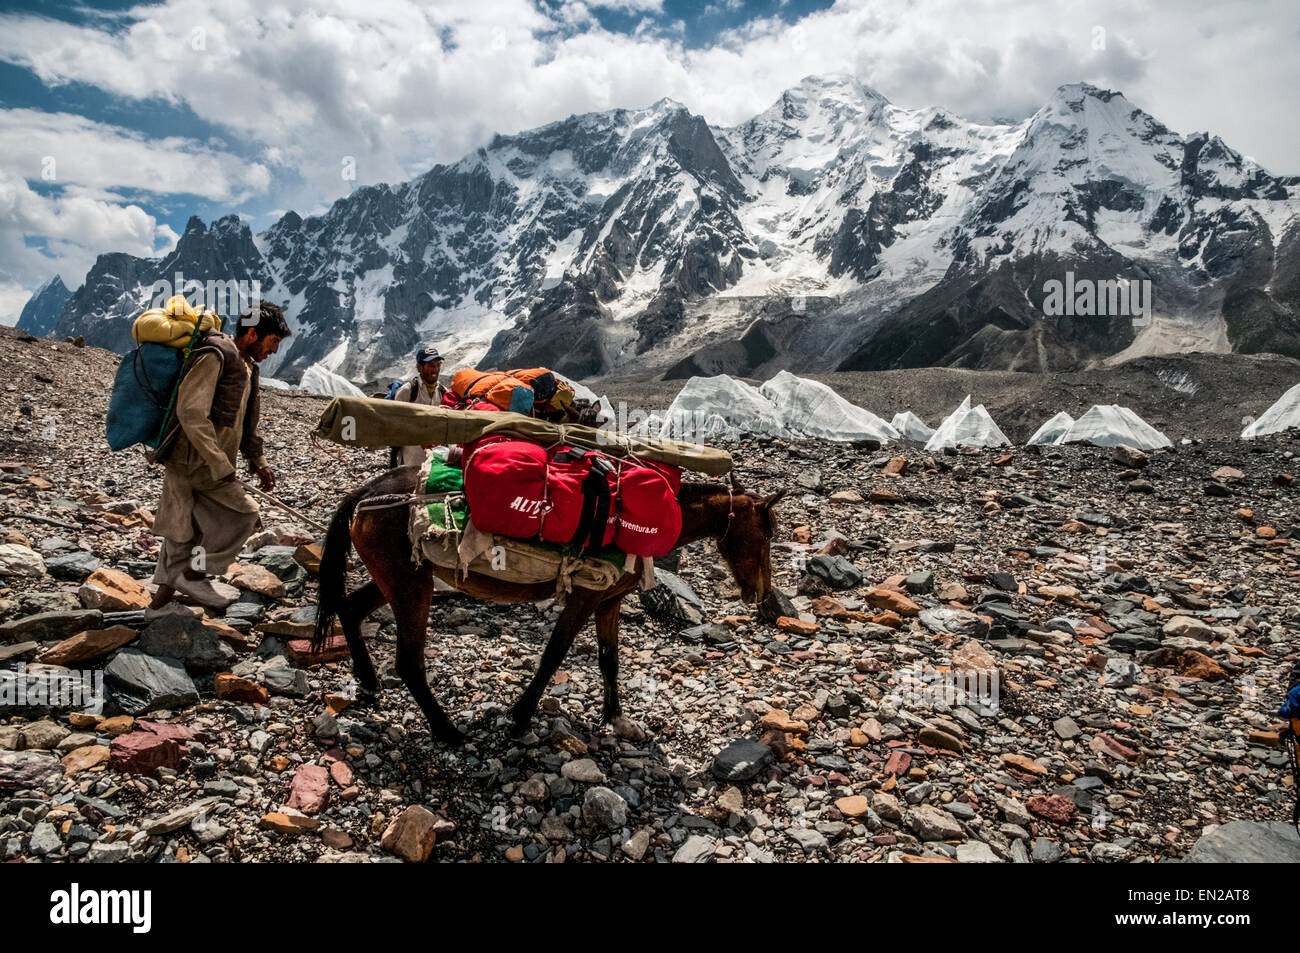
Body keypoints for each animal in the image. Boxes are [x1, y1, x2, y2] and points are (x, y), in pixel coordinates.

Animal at [314, 462, 785, 743]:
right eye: (766, 534)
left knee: (350, 610)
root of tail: (366, 494)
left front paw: (617, 720)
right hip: (411, 586)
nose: (761, 597)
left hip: (399, 578)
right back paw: (448, 732)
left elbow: (609, 660)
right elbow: (554, 654)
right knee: (409, 662)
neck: (649, 517)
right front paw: (520, 716)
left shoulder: (609, 600)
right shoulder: (584, 595)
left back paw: (369, 683)